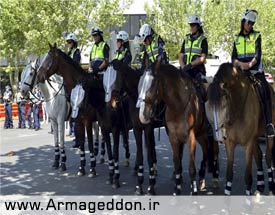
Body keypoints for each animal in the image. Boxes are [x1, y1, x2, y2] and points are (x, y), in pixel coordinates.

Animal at [142, 63, 218, 195]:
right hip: (201, 135)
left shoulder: (190, 138)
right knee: (206, 150)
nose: (144, 114)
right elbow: (177, 164)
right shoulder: (173, 138)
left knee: (212, 152)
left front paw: (194, 192)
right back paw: (202, 178)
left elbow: (191, 168)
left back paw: (212, 178)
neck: (178, 106)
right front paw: (177, 190)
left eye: (152, 84)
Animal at [207, 62, 275, 195]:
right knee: (259, 155)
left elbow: (248, 177)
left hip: (268, 136)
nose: (219, 137)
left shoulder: (248, 144)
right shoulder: (230, 143)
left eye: (224, 105)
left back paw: (271, 187)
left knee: (268, 157)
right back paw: (260, 187)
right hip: (255, 138)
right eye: (210, 107)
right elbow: (229, 175)